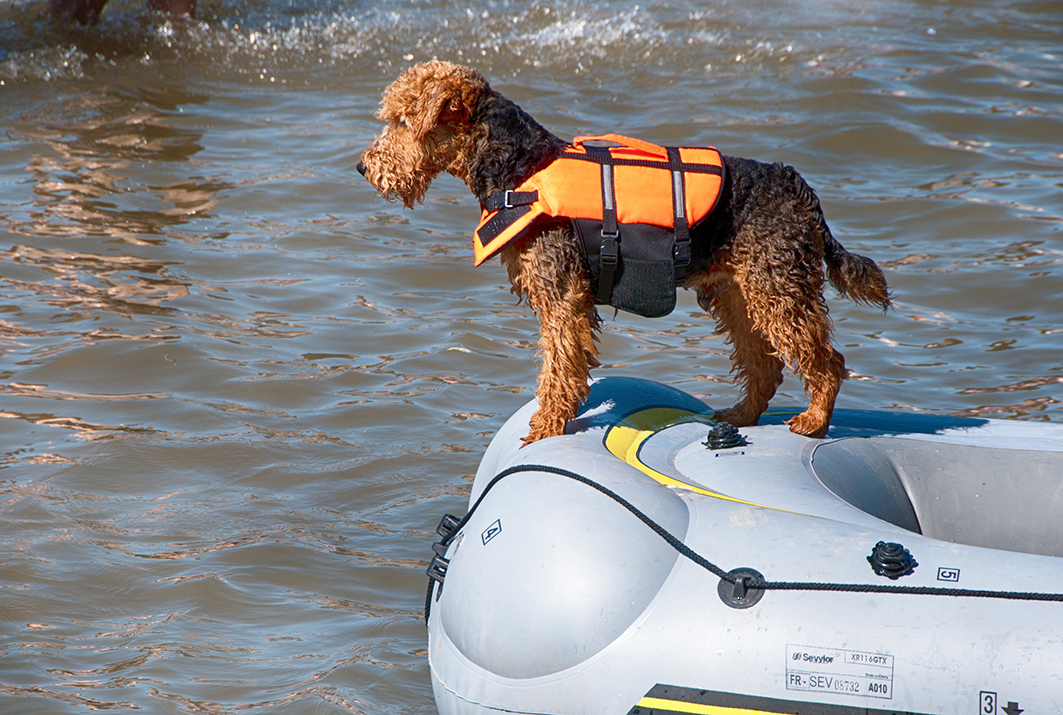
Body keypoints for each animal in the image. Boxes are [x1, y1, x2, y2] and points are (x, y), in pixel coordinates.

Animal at [355, 61, 888, 439]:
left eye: (402, 121)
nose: (363, 167)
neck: (520, 167)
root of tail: (796, 186)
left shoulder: (562, 298)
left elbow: (559, 368)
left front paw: (544, 428)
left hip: (779, 292)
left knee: (826, 361)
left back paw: (813, 422)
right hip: (742, 296)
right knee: (767, 365)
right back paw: (740, 414)